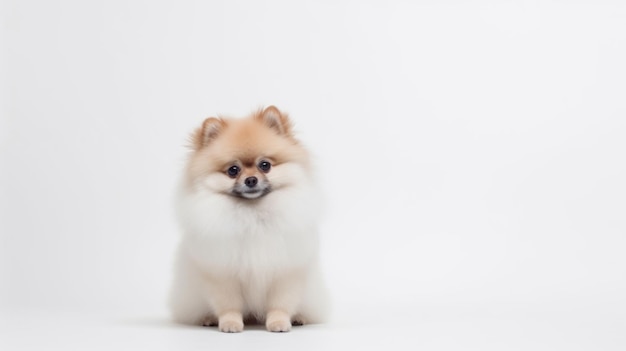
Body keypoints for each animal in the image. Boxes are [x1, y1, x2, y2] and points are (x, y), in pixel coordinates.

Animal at [168, 105, 330, 332]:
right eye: (233, 170)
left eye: (265, 165)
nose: (251, 180)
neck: (253, 214)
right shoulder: (223, 273)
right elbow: (229, 305)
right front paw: (230, 323)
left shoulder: (285, 271)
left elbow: (280, 303)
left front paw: (279, 322)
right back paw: (208, 318)